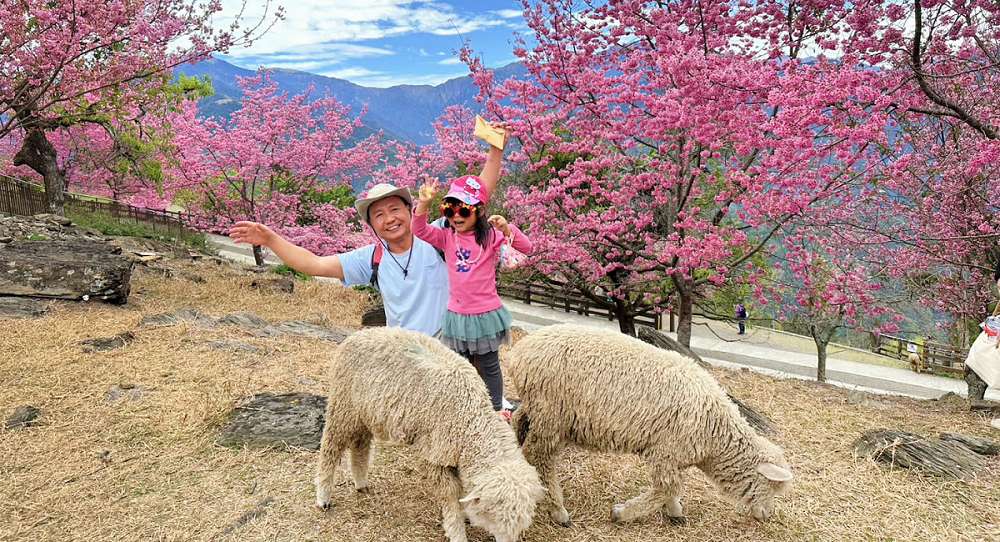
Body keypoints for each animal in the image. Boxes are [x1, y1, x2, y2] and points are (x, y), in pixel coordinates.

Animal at [316, 328, 544, 542]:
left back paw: (361, 482)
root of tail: (357, 334)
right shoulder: (437, 455)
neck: (470, 417)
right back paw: (323, 496)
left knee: (360, 445)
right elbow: (450, 494)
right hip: (343, 406)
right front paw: (457, 531)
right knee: (330, 448)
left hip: (365, 413)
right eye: (495, 517)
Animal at [512, 326, 792, 528]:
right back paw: (558, 511)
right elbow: (668, 487)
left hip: (538, 409)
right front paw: (621, 513)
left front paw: (675, 511)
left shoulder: (673, 456)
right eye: (771, 487)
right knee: (540, 457)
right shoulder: (667, 451)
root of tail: (521, 351)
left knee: (519, 424)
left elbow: (669, 489)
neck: (715, 436)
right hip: (551, 413)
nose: (766, 515)